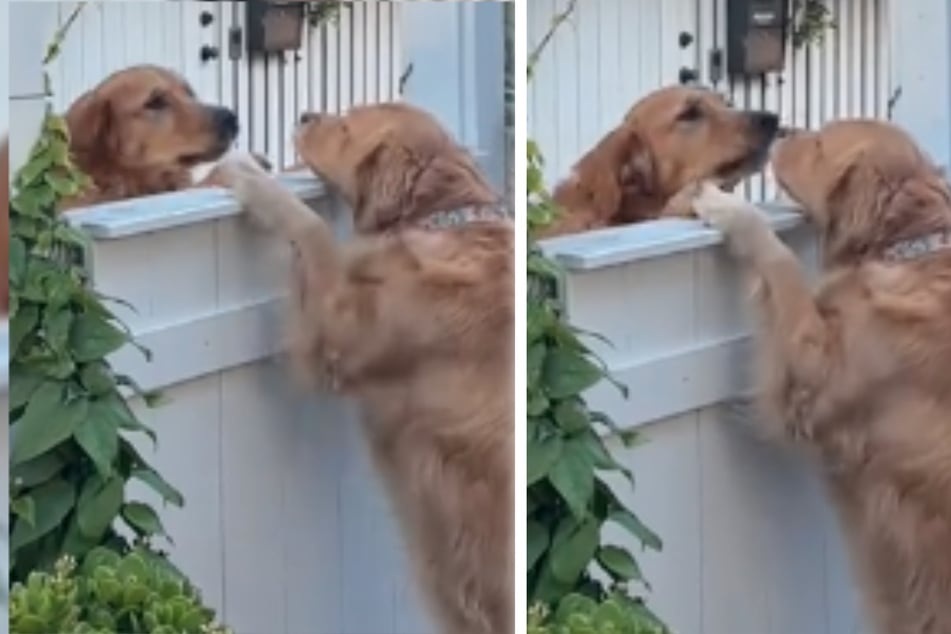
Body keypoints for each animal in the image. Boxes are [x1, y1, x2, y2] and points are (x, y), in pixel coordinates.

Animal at [214, 102, 512, 632]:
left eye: (348, 126)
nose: (305, 113)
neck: (443, 221)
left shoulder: (338, 327)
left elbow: (312, 227)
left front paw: (248, 177)